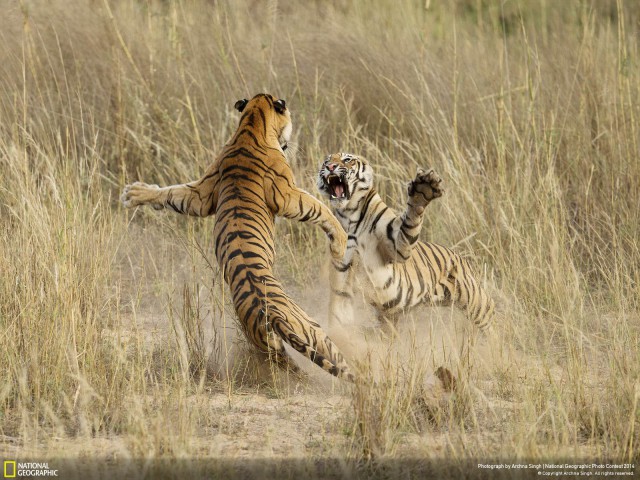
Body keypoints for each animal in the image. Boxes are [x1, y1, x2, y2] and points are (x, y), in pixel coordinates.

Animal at [120, 93, 356, 378]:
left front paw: (134, 193)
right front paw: (340, 241)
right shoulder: (287, 195)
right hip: (313, 329)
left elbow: (172, 193)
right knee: (339, 360)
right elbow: (319, 208)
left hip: (274, 346)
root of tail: (272, 316)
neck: (251, 123)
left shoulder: (202, 194)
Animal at [318, 154, 496, 334]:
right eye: (327, 161)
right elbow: (340, 308)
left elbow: (411, 218)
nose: (330, 167)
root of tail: (462, 259)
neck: (350, 214)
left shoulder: (397, 246)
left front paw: (423, 189)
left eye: (347, 159)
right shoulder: (343, 270)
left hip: (476, 302)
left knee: (491, 317)